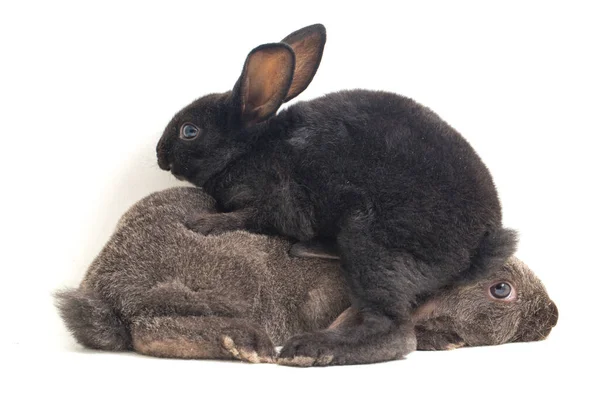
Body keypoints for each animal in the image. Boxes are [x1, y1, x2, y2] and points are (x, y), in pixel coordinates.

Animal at [56, 188, 556, 366]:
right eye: (501, 290)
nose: (553, 317)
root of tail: (103, 286)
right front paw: (308, 353)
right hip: (229, 283)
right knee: (149, 327)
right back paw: (248, 345)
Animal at [155, 24, 516, 366]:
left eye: (189, 131)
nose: (159, 155)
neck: (248, 149)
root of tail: (484, 243)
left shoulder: (277, 201)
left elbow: (247, 217)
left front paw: (202, 223)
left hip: (371, 241)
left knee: (395, 331)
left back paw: (312, 349)